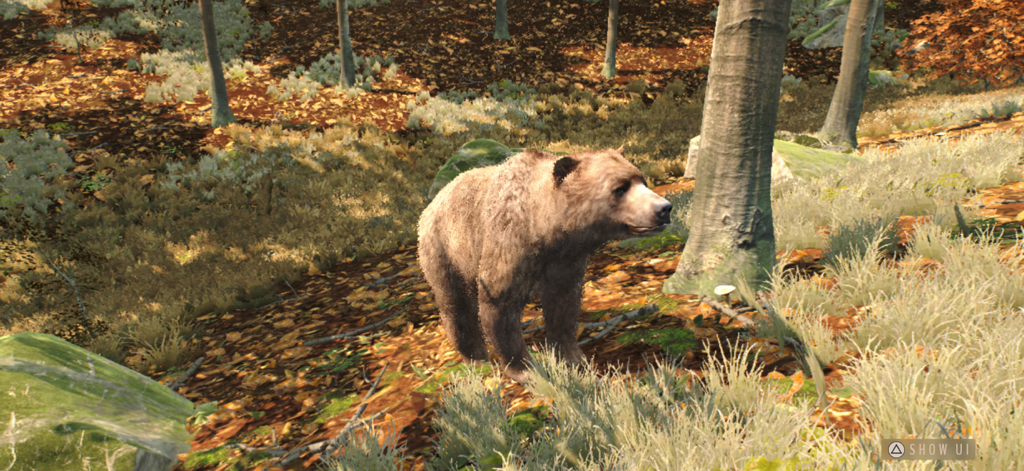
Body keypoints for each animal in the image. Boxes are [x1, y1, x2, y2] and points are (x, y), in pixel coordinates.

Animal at [417, 146, 673, 383]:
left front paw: (574, 359)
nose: (664, 208)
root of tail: (431, 204)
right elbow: (499, 306)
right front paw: (526, 370)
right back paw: (477, 361)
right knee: (455, 304)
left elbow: (563, 306)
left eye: (642, 180)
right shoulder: (507, 243)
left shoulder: (564, 260)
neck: (545, 225)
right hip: (445, 248)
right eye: (620, 188)